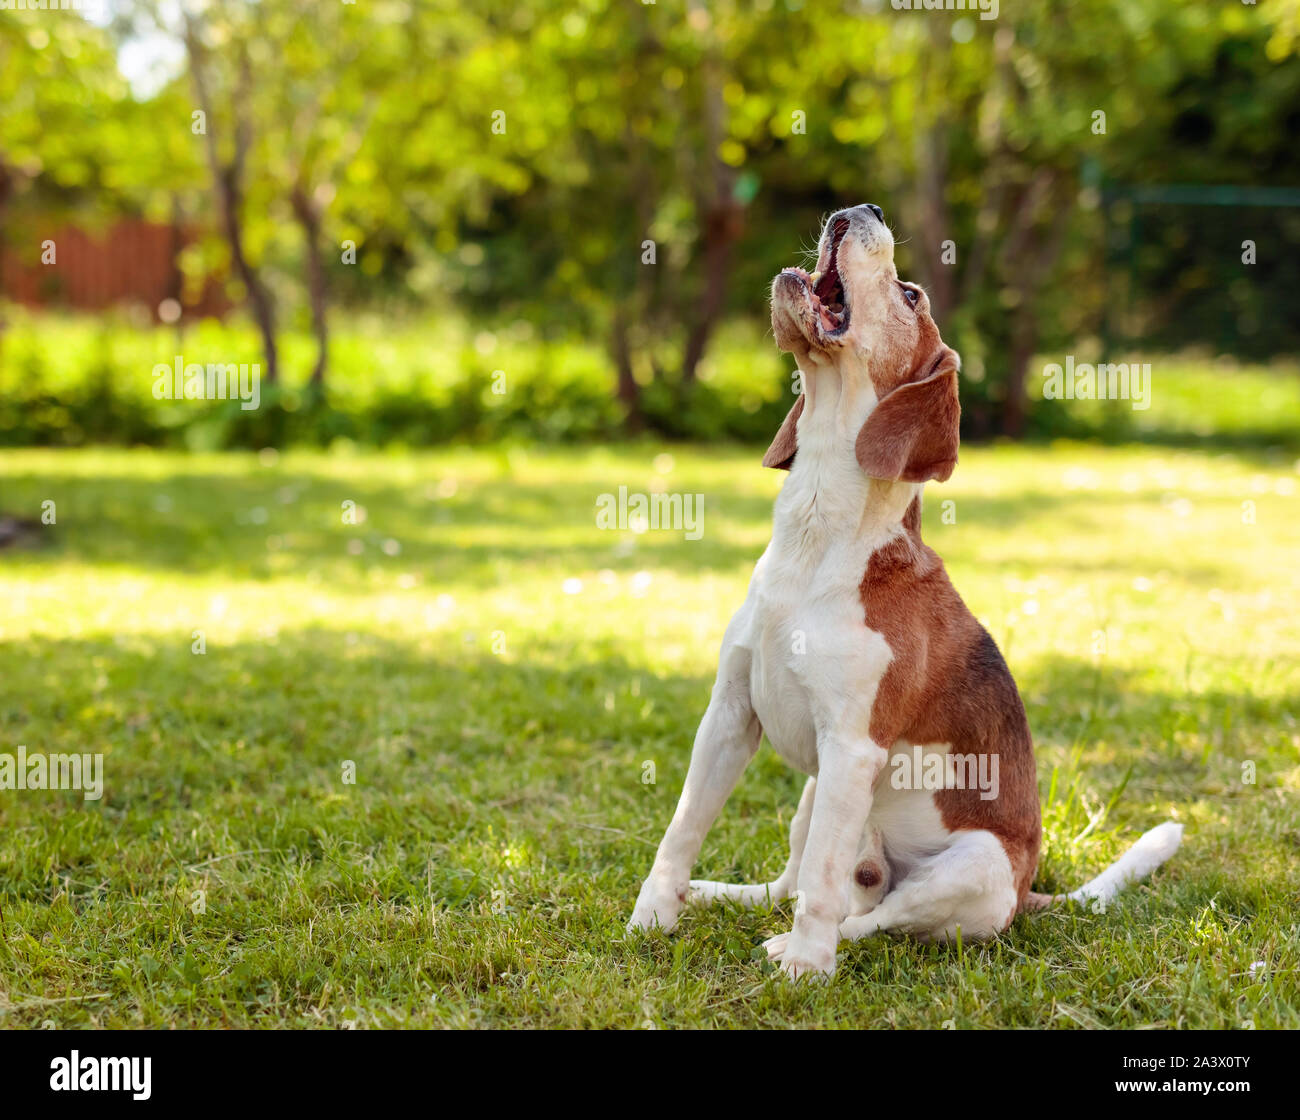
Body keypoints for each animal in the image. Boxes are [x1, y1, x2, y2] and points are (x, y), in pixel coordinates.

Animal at [624, 206, 1185, 977]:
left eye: (912, 295)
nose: (864, 211)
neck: (815, 534)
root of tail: (1026, 895)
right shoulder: (730, 715)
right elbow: (681, 830)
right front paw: (652, 915)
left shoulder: (853, 748)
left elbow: (824, 887)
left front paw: (804, 970)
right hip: (811, 794)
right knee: (790, 885)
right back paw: (714, 896)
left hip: (969, 861)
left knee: (866, 917)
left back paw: (798, 945)